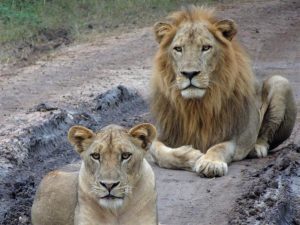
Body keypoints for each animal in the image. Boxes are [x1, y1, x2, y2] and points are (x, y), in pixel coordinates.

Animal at [149, 5, 296, 178]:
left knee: (265, 136)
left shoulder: (232, 135)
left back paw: (256, 148)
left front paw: (210, 163)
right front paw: (193, 156)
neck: (196, 105)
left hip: (281, 81)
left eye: (206, 48)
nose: (189, 74)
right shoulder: (163, 132)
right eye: (178, 49)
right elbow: (158, 152)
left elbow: (219, 147)